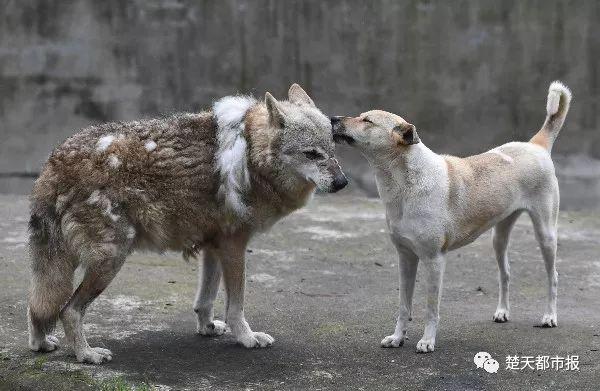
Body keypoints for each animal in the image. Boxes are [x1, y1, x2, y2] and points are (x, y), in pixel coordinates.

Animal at [28, 82, 346, 364]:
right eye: (311, 154)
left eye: (332, 149)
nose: (343, 182)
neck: (251, 154)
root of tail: (53, 164)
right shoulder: (234, 245)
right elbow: (236, 305)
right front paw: (247, 338)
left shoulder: (214, 245)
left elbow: (206, 299)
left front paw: (207, 328)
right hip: (110, 260)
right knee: (68, 311)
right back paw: (86, 355)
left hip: (62, 265)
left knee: (38, 306)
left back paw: (41, 344)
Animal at [332, 81, 572, 354]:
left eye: (367, 121)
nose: (332, 119)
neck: (406, 183)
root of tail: (535, 145)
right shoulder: (405, 258)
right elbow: (404, 305)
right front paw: (397, 337)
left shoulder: (434, 260)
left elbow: (430, 308)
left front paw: (427, 341)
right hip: (498, 238)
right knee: (506, 273)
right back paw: (502, 312)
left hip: (546, 234)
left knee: (553, 276)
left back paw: (549, 317)